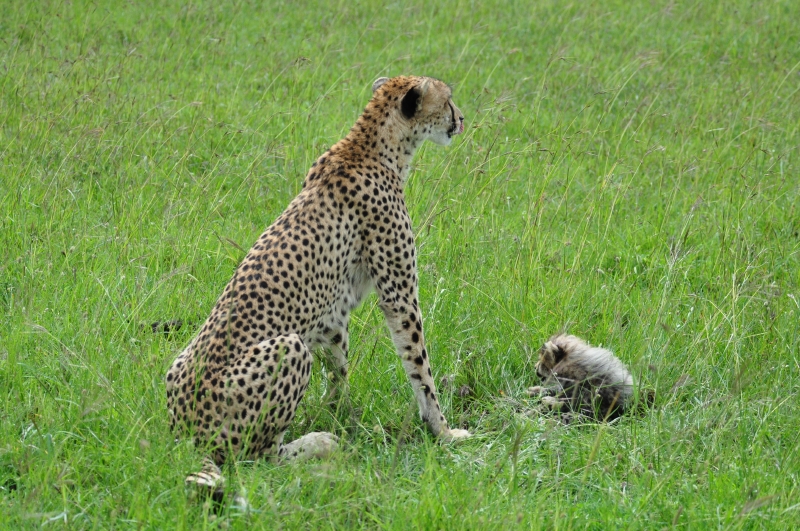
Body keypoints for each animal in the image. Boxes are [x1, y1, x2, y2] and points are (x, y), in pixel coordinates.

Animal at [165, 75, 471, 494]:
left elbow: (339, 370)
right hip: (289, 349)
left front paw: (343, 415)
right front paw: (443, 431)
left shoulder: (334, 318)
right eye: (447, 101)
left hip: (176, 365)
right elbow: (419, 366)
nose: (462, 119)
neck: (372, 145)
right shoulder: (399, 296)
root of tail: (183, 436)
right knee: (257, 459)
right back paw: (319, 443)